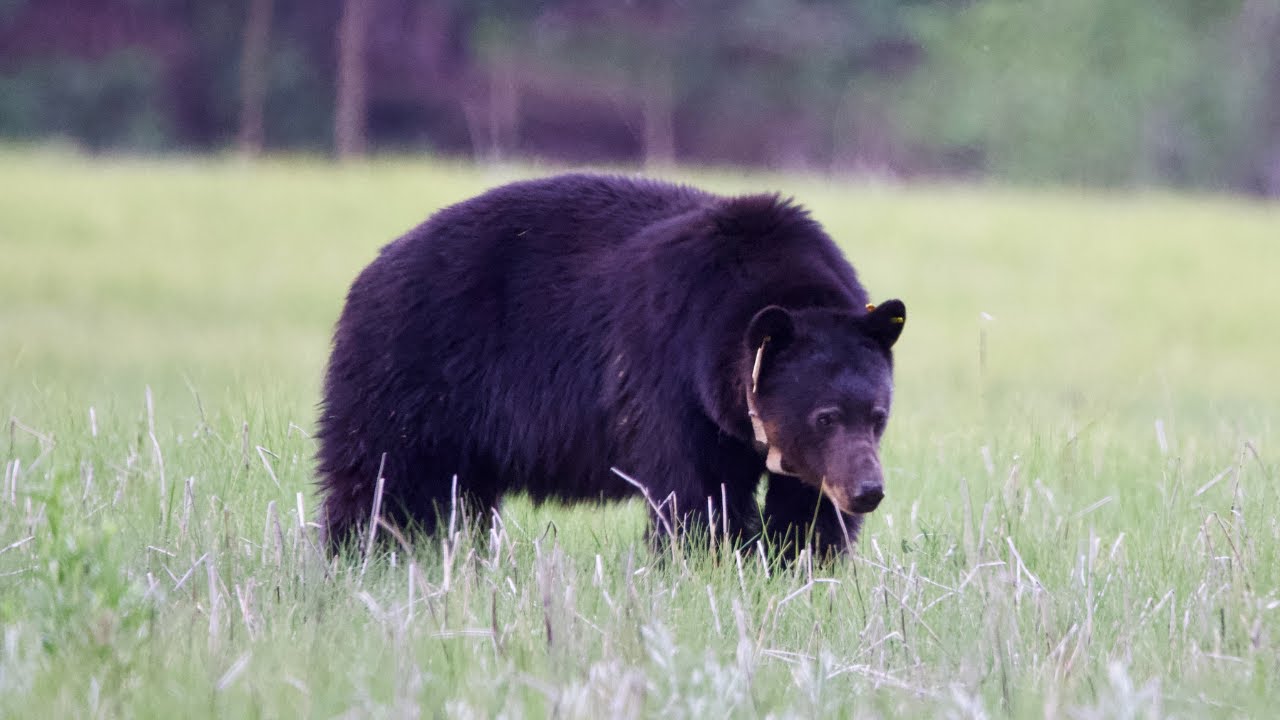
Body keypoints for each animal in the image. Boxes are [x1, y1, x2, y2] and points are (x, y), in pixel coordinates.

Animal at [315, 173, 906, 556]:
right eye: (825, 416)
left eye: (877, 416)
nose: (867, 491)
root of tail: (371, 270)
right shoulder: (670, 375)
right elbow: (694, 486)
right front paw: (707, 558)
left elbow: (806, 505)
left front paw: (800, 561)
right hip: (409, 371)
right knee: (378, 474)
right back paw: (356, 553)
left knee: (463, 497)